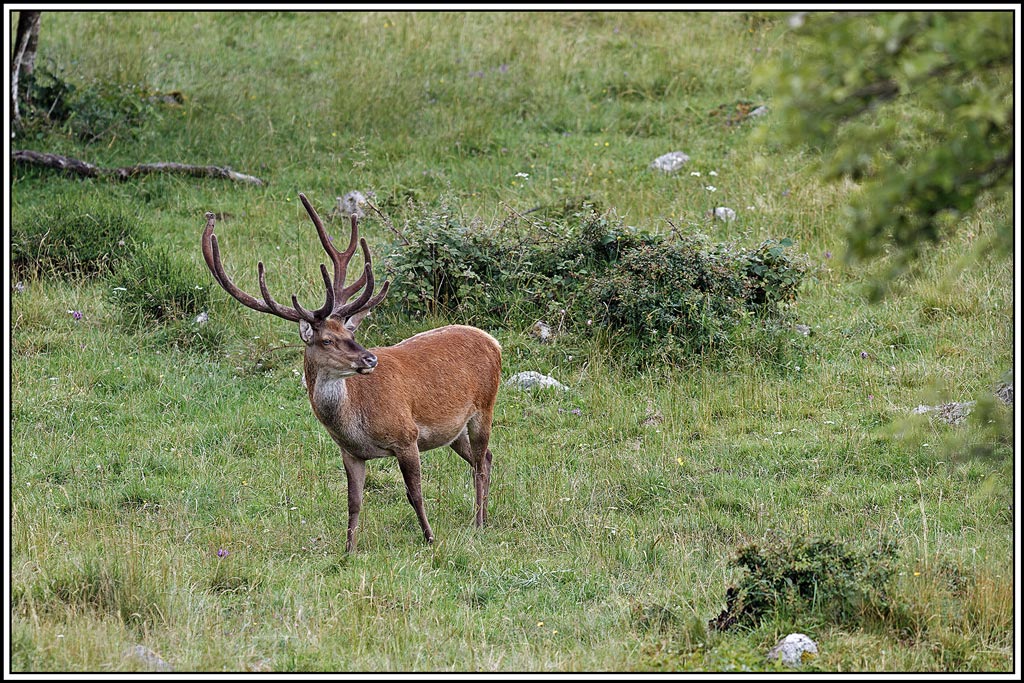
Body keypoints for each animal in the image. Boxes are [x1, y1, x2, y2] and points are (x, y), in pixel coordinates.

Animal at [201, 193, 501, 552]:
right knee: (485, 458)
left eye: (351, 333)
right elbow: (354, 502)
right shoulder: (350, 453)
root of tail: (493, 341)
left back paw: (480, 523)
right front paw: (349, 550)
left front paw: (430, 538)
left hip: (484, 407)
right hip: (453, 431)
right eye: (328, 340)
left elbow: (414, 494)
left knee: (481, 462)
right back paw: (482, 516)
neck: (355, 420)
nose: (370, 359)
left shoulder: (407, 436)